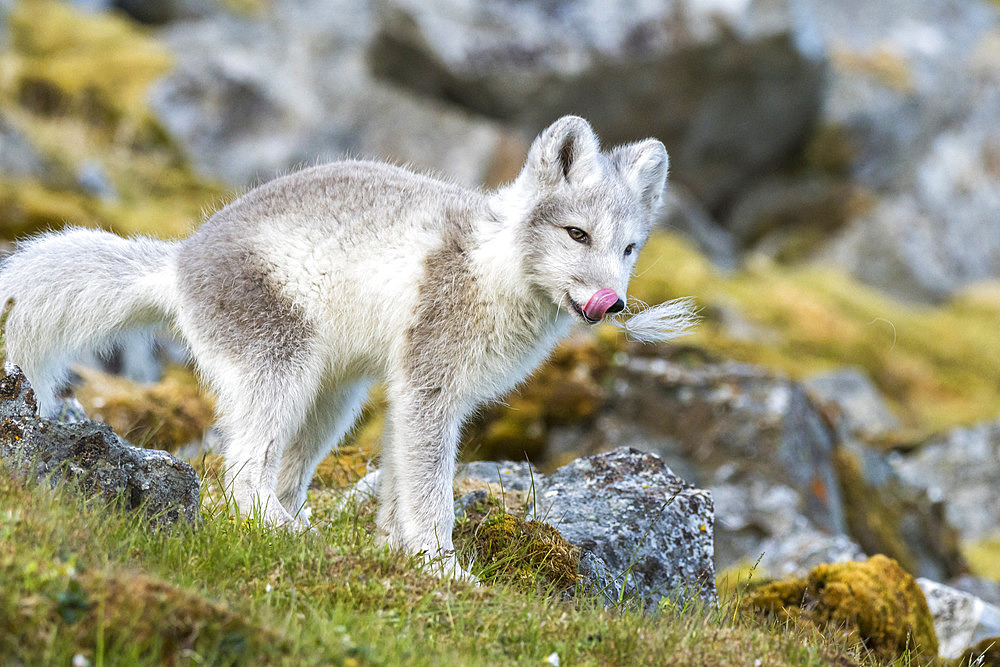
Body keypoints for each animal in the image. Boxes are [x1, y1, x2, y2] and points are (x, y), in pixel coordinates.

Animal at [0, 115, 696, 576]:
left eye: (629, 248)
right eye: (577, 235)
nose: (614, 303)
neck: (490, 267)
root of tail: (178, 262)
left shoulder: (415, 395)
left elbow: (398, 492)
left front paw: (398, 555)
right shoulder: (428, 389)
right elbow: (432, 498)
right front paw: (443, 571)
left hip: (336, 399)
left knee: (280, 473)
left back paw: (300, 527)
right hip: (281, 368)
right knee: (240, 471)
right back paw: (282, 531)